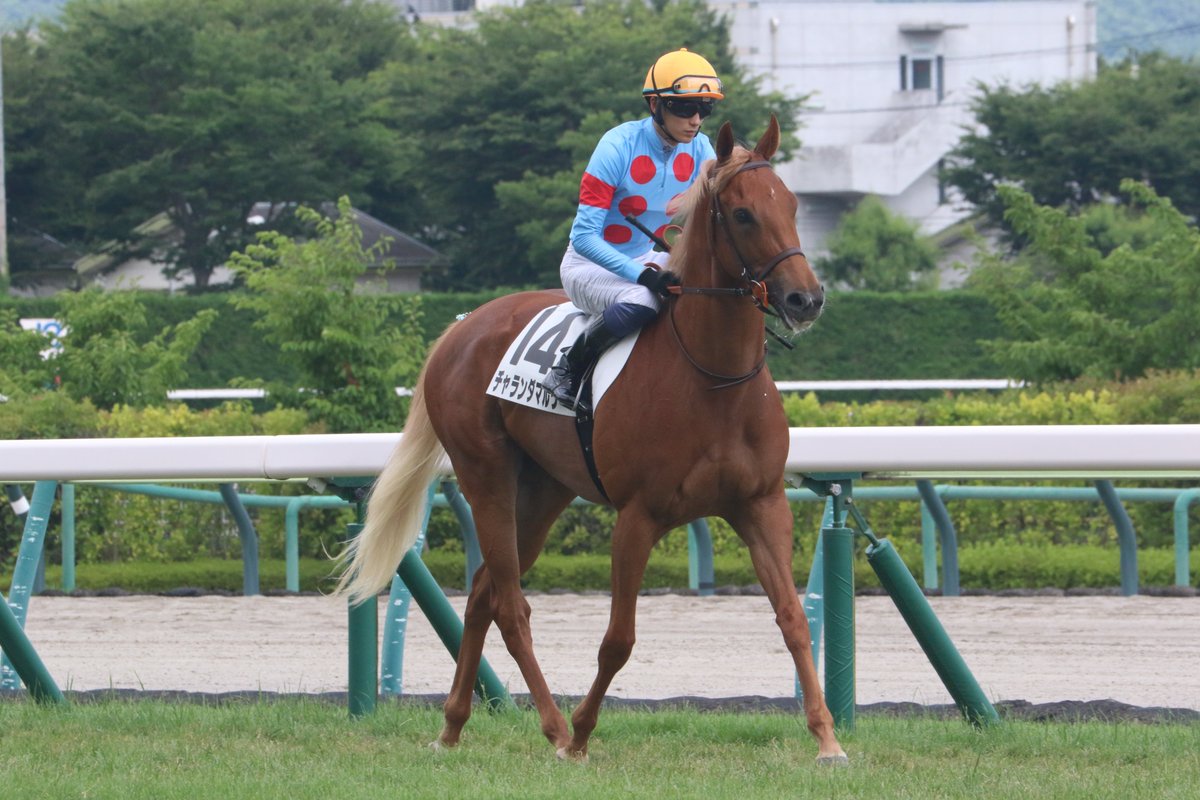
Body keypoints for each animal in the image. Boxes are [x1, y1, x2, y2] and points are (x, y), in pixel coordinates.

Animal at [335, 116, 847, 764]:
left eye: (793, 205)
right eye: (742, 214)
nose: (806, 298)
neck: (714, 379)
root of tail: (461, 327)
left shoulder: (761, 504)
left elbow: (793, 619)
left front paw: (827, 737)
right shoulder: (638, 516)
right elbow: (618, 640)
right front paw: (580, 734)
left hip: (544, 490)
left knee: (482, 593)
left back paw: (452, 726)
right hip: (486, 477)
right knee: (510, 605)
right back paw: (553, 727)